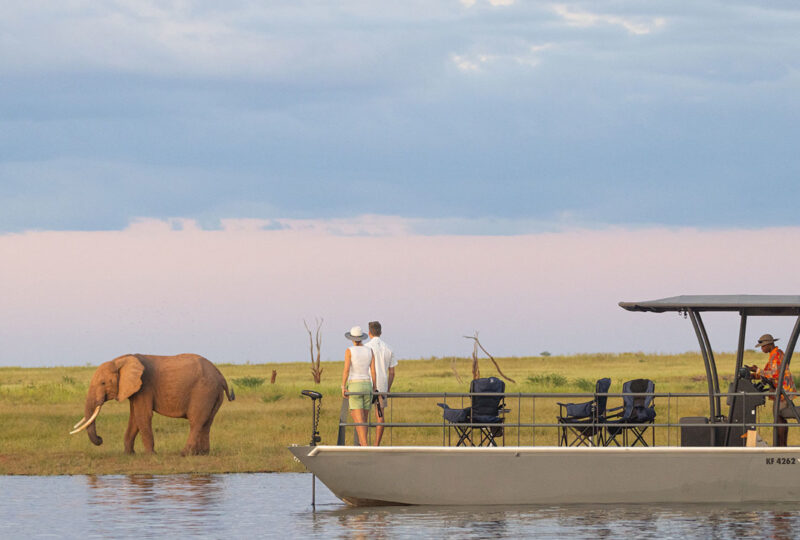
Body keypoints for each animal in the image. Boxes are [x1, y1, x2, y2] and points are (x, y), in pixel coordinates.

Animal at [69, 354, 234, 456]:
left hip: (203, 391)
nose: (100, 438)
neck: (122, 359)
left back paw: (184, 454)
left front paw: (150, 455)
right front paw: (129, 454)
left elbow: (143, 415)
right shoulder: (135, 389)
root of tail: (220, 375)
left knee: (196, 421)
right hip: (213, 393)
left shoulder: (145, 385)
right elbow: (134, 418)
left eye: (103, 383)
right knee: (207, 422)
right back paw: (202, 454)